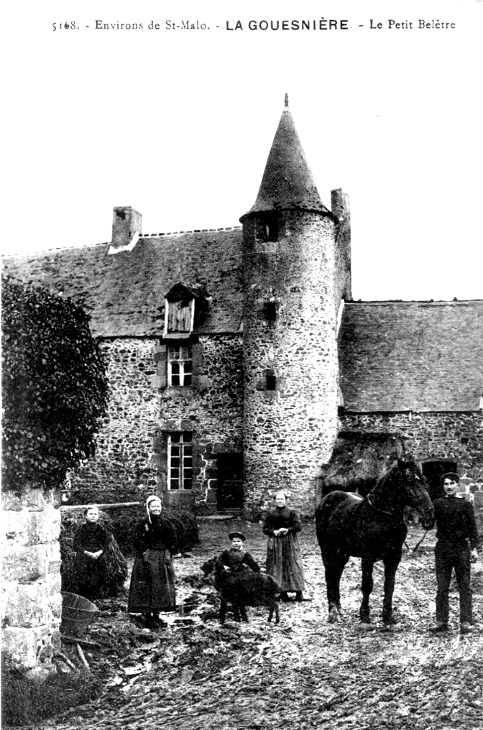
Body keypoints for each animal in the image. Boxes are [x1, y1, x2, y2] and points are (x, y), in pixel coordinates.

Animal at [316, 452, 436, 624]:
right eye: (409, 481)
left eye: (424, 481)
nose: (429, 516)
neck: (381, 517)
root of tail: (326, 500)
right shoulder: (368, 557)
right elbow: (367, 585)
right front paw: (364, 615)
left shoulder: (394, 557)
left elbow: (389, 585)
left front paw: (388, 616)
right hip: (327, 550)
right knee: (329, 576)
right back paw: (333, 613)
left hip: (342, 553)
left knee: (336, 575)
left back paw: (339, 610)